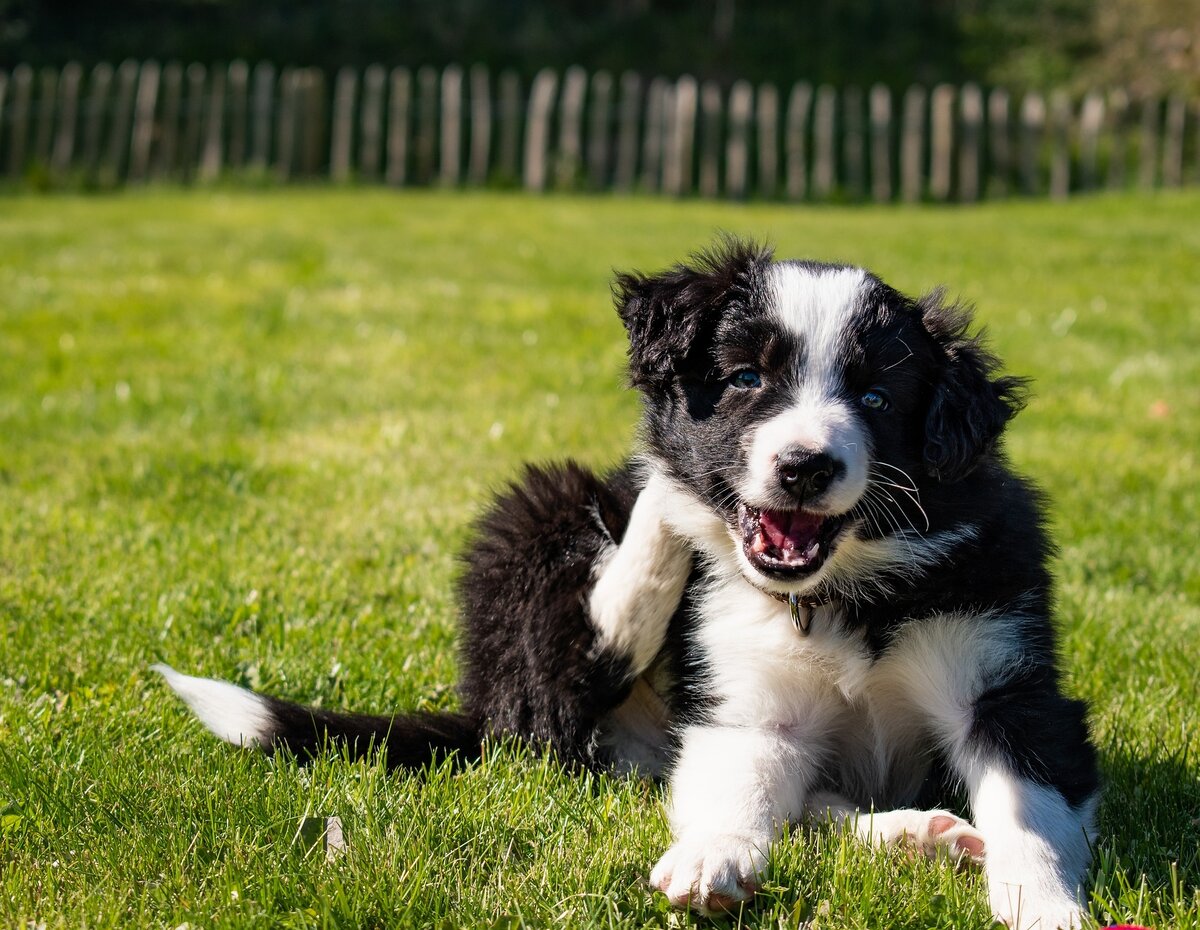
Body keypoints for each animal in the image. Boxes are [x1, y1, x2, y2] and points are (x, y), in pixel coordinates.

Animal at [157, 242, 1099, 930]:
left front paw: (1047, 908)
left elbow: (1030, 810)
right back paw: (663, 508)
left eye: (876, 396)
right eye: (746, 379)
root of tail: (483, 708)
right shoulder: (745, 700)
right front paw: (715, 856)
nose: (804, 466)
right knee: (583, 664)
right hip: (537, 518)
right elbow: (737, 785)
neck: (840, 593)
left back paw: (916, 833)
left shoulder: (1005, 682)